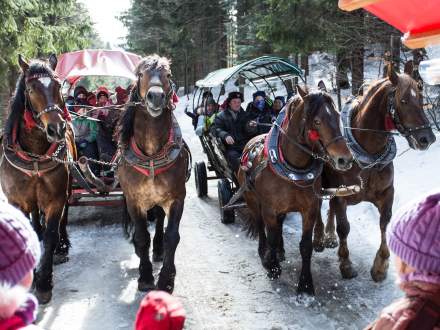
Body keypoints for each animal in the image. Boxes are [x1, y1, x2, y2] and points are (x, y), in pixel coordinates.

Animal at [0, 54, 75, 304]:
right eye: (31, 89)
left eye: (58, 86)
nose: (57, 128)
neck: (34, 155)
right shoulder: (17, 201)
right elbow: (28, 231)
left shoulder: (55, 200)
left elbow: (51, 234)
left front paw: (43, 283)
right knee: (35, 220)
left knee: (64, 219)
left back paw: (62, 247)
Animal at [117, 54, 189, 294]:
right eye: (140, 74)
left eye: (168, 74)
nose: (156, 96)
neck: (150, 155)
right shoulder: (134, 201)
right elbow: (141, 237)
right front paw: (146, 276)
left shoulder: (177, 198)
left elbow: (172, 236)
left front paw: (166, 279)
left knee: (158, 221)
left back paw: (158, 250)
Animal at [237, 85, 354, 294]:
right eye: (317, 121)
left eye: (337, 116)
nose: (345, 159)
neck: (293, 171)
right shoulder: (269, 209)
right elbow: (271, 236)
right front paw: (272, 266)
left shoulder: (310, 209)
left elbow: (305, 246)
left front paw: (305, 285)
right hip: (252, 200)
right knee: (260, 226)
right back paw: (264, 253)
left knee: (279, 225)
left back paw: (280, 251)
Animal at [320, 63, 436, 282]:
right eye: (403, 100)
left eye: (421, 98)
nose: (427, 138)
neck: (368, 157)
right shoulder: (341, 196)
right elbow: (344, 228)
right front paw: (346, 263)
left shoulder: (387, 193)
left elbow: (384, 223)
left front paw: (381, 265)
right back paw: (325, 236)